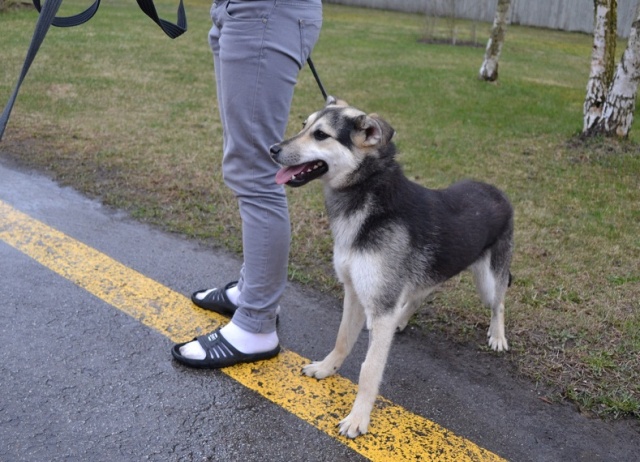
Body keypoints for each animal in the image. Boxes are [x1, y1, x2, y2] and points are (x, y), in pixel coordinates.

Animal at [270, 98, 514, 438]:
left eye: (320, 135)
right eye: (303, 125)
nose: (272, 149)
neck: (369, 194)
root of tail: (498, 191)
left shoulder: (380, 304)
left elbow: (369, 369)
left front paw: (358, 418)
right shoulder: (355, 293)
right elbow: (342, 339)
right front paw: (326, 368)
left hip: (487, 281)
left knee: (499, 303)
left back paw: (498, 336)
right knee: (420, 295)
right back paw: (403, 319)